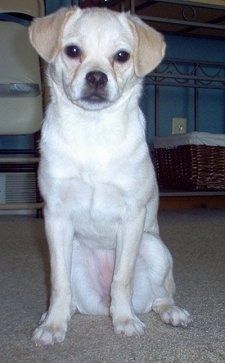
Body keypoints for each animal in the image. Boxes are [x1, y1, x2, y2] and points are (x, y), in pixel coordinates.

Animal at [29, 7, 192, 346]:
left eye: (121, 56)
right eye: (72, 51)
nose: (96, 77)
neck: (93, 130)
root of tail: (101, 303)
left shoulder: (132, 217)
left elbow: (122, 278)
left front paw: (125, 320)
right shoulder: (56, 217)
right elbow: (58, 282)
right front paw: (53, 326)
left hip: (153, 247)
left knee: (160, 297)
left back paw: (171, 313)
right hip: (75, 250)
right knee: (70, 296)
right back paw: (55, 315)